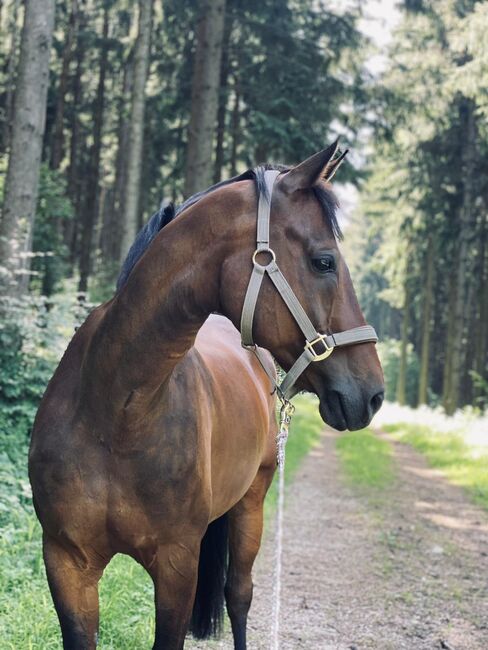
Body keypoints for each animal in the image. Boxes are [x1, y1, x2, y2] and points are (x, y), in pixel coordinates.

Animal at [28, 143, 386, 648]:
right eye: (324, 261)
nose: (372, 393)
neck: (116, 414)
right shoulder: (66, 563)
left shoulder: (178, 564)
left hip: (251, 504)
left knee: (239, 595)